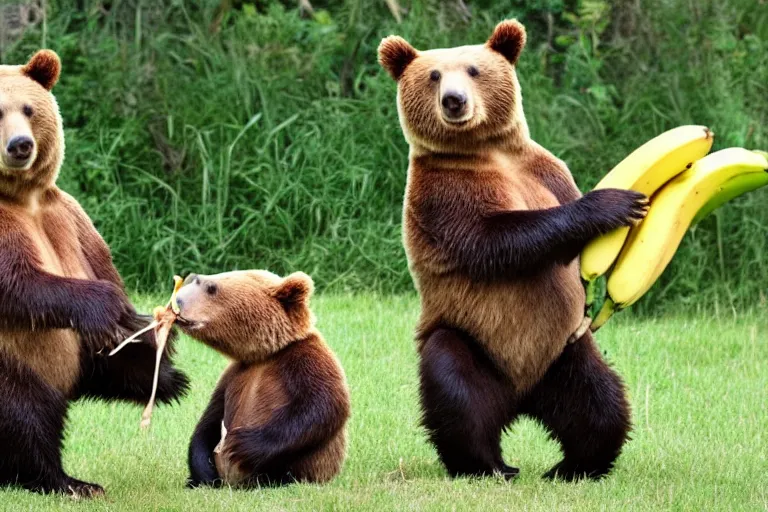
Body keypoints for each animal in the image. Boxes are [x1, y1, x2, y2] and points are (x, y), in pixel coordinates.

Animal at [0, 52, 188, 500]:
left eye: (28, 109)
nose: (19, 146)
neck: (23, 198)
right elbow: (20, 282)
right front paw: (106, 306)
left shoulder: (72, 220)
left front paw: (155, 334)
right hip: (16, 360)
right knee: (25, 415)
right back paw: (64, 481)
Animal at [175, 270, 352, 486]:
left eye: (211, 287)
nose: (178, 299)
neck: (265, 355)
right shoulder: (233, 374)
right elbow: (210, 420)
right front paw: (205, 473)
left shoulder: (304, 360)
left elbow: (323, 406)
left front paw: (238, 444)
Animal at [378, 20, 648, 482]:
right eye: (434, 75)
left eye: (473, 69)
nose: (454, 100)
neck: (488, 152)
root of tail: (520, 398)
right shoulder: (442, 192)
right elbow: (495, 240)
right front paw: (611, 204)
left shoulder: (546, 170)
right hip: (472, 339)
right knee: (457, 393)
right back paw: (490, 464)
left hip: (564, 354)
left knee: (599, 402)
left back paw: (573, 466)